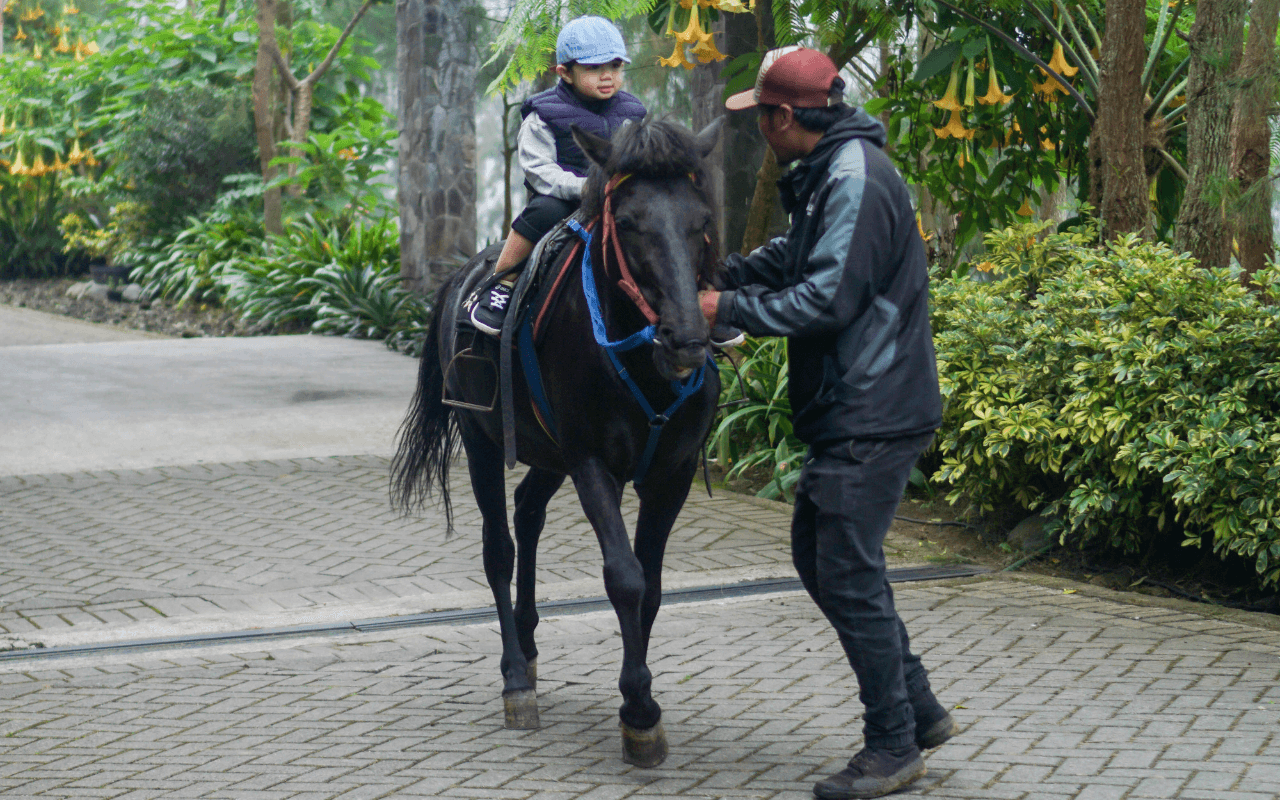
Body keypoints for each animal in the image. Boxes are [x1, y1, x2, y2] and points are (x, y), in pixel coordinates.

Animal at [391, 116, 725, 768]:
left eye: (700, 220)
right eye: (629, 222)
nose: (687, 339)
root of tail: (464, 274)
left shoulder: (670, 473)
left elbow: (652, 586)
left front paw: (637, 700)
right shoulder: (592, 460)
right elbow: (625, 575)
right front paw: (639, 711)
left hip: (548, 451)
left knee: (528, 510)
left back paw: (527, 639)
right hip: (484, 440)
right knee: (499, 548)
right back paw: (516, 678)